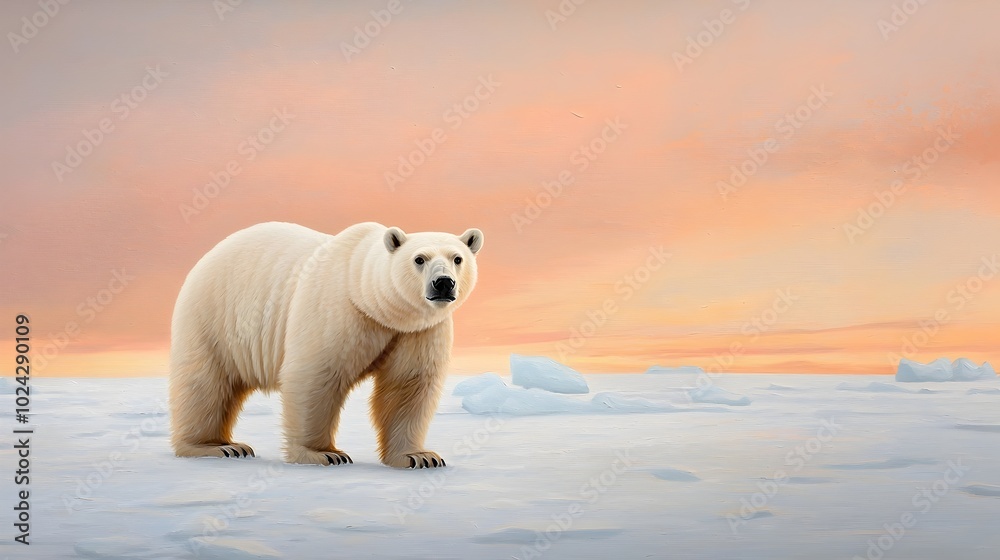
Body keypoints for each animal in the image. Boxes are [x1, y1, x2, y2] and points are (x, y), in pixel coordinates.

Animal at [168, 221, 483, 468]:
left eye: (457, 258)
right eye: (419, 259)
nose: (443, 283)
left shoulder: (417, 331)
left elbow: (409, 386)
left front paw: (419, 456)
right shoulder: (337, 310)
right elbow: (315, 376)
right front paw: (323, 454)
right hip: (214, 319)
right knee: (205, 383)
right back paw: (217, 446)